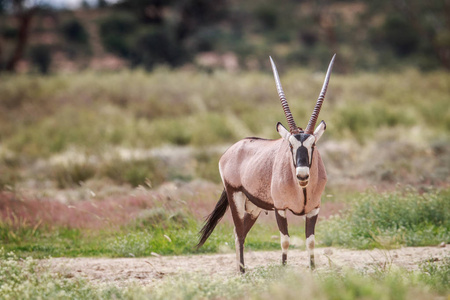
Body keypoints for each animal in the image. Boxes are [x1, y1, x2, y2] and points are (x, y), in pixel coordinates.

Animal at [196, 54, 334, 272]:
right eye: (290, 145)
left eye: (312, 144)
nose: (302, 175)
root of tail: (232, 150)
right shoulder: (280, 209)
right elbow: (285, 240)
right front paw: (284, 269)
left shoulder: (314, 209)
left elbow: (310, 241)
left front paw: (312, 269)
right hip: (235, 196)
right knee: (239, 232)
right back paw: (242, 270)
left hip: (253, 208)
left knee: (241, 231)